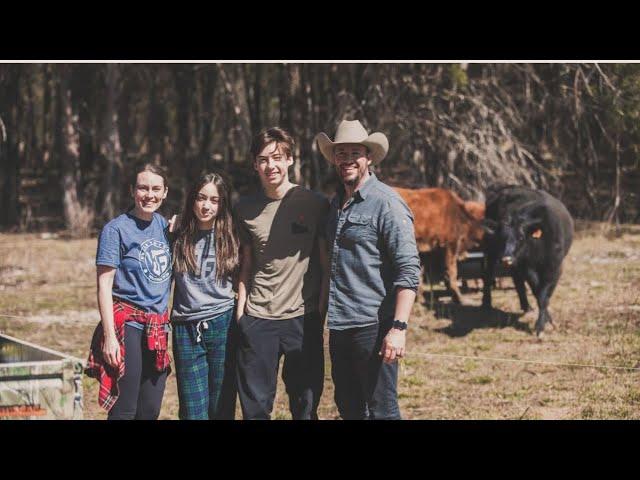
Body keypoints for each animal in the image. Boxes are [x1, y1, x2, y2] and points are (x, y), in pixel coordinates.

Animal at [480, 186, 576, 336]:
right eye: (501, 238)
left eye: (521, 237)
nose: (506, 258)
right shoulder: (528, 268)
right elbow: (539, 294)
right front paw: (542, 324)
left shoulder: (555, 269)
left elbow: (544, 294)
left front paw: (545, 321)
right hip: (490, 251)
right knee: (488, 274)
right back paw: (486, 303)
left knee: (517, 280)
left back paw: (526, 306)